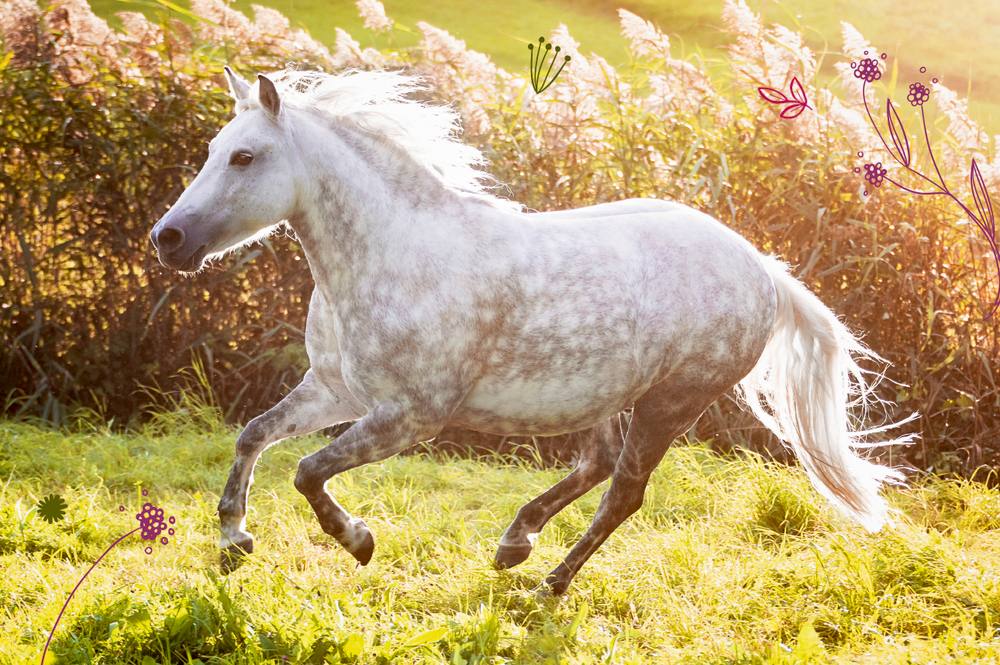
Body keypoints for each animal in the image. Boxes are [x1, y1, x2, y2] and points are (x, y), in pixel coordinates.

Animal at [149, 66, 915, 596]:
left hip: (671, 402)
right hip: (603, 395)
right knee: (597, 466)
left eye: (245, 157)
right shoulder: (334, 389)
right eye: (215, 148)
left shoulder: (409, 417)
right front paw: (234, 537)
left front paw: (358, 540)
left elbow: (308, 470)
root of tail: (764, 270)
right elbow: (253, 434)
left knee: (623, 492)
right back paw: (515, 544)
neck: (392, 253)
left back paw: (548, 583)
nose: (168, 239)